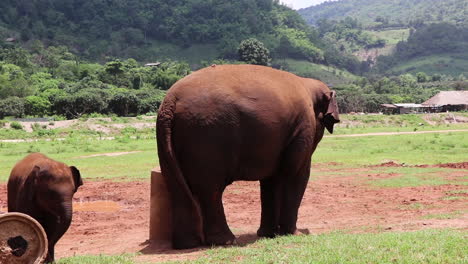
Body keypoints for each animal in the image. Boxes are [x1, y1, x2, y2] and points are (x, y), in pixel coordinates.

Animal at [158, 64, 340, 250]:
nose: (304, 231)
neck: (307, 84)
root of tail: (170, 101)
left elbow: (271, 180)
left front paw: (268, 234)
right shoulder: (303, 127)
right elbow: (295, 174)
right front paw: (292, 234)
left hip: (170, 139)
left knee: (176, 186)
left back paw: (187, 244)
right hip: (206, 135)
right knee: (210, 190)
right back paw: (225, 241)